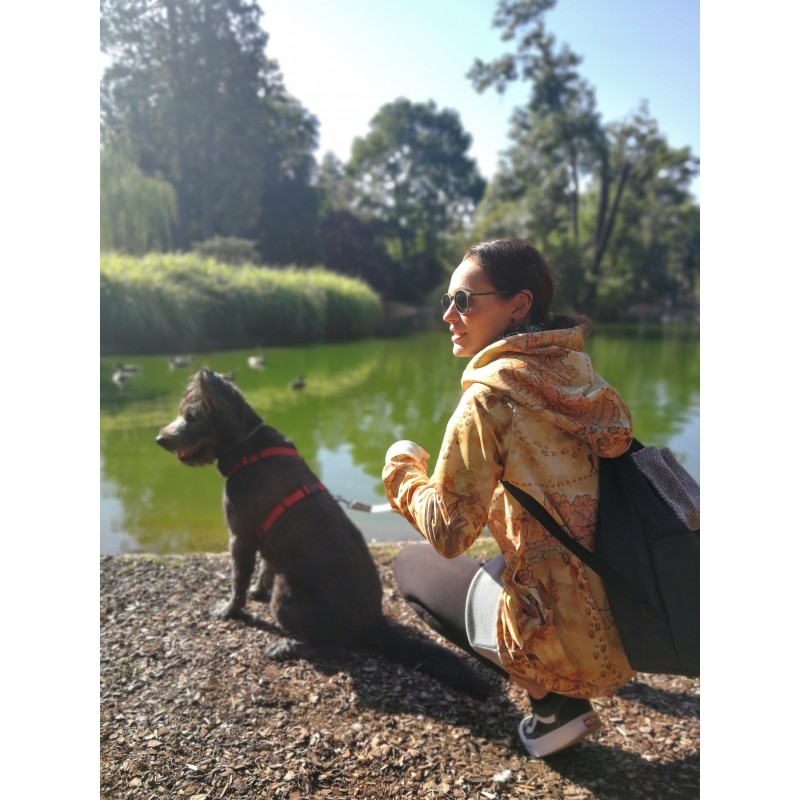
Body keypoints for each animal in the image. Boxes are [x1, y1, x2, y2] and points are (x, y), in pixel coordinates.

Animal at [156, 368, 490, 698]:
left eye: (191, 416)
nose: (160, 439)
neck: (247, 447)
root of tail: (373, 621)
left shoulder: (240, 536)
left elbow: (238, 579)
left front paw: (228, 609)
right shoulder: (263, 540)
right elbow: (264, 569)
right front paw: (256, 592)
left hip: (286, 598)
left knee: (339, 649)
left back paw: (286, 646)